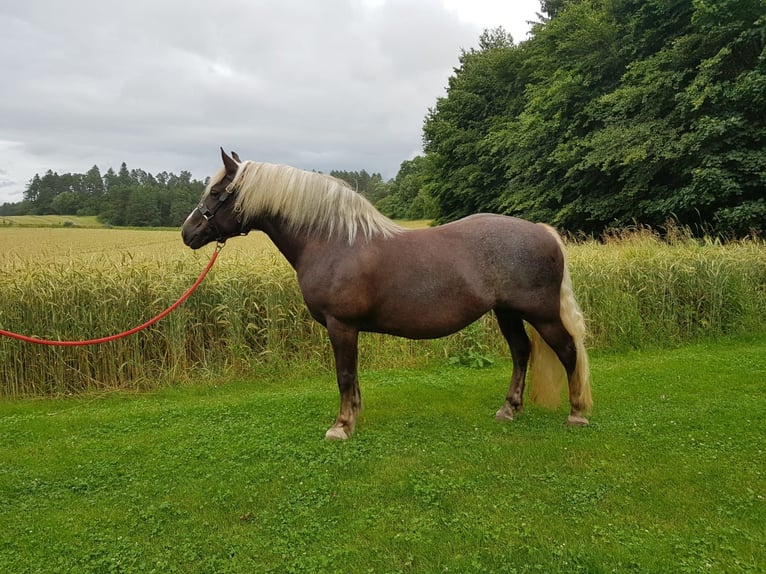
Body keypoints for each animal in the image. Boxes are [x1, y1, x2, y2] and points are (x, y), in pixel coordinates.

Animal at [182, 150, 592, 440]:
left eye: (216, 193)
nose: (188, 232)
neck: (332, 240)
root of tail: (540, 231)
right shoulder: (346, 329)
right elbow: (352, 376)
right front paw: (353, 415)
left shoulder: (341, 325)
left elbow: (344, 374)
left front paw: (341, 426)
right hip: (507, 312)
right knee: (522, 352)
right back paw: (509, 409)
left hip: (541, 314)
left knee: (567, 351)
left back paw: (576, 413)